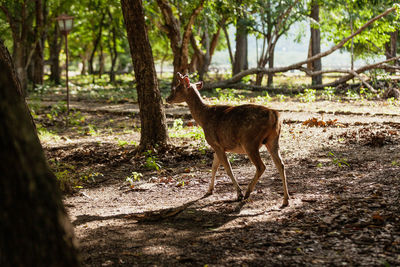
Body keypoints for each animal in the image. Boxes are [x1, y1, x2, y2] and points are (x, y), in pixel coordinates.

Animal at [167, 73, 290, 207]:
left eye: (177, 88)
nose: (167, 99)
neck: (203, 119)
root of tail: (275, 116)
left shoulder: (215, 143)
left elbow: (227, 169)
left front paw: (239, 193)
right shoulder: (218, 146)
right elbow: (214, 167)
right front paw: (209, 190)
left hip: (250, 141)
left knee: (261, 166)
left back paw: (247, 193)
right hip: (273, 140)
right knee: (281, 165)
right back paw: (286, 199)